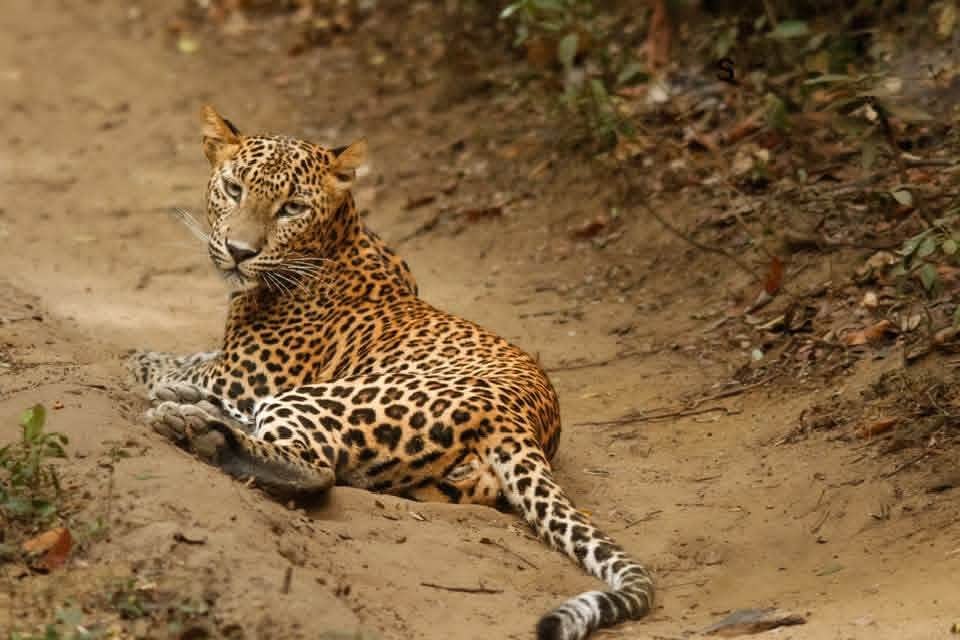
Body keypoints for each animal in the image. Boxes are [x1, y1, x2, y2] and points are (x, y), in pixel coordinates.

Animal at [128, 105, 654, 640]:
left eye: (292, 208)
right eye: (234, 189)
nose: (239, 251)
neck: (339, 238)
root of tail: (522, 422)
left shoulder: (246, 376)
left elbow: (161, 361)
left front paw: (143, 364)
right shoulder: (229, 368)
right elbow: (187, 356)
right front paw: (169, 373)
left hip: (320, 397)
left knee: (313, 467)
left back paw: (195, 429)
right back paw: (191, 411)